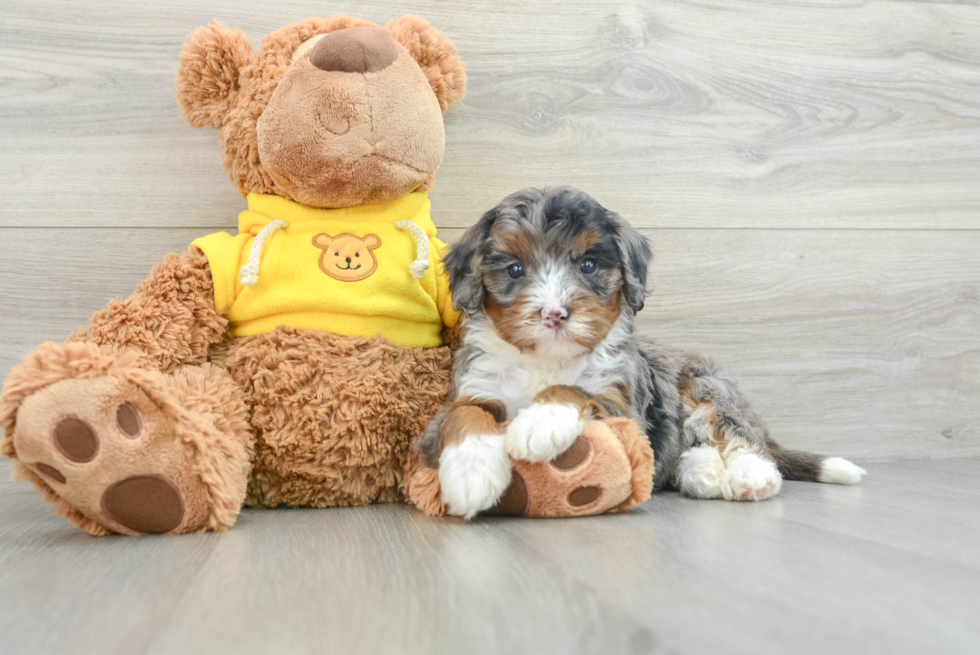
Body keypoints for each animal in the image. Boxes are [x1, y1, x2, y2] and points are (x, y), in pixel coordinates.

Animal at [422, 187, 864, 520]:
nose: (554, 313)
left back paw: (749, 476)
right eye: (515, 269)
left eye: (588, 264)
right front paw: (469, 473)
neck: (547, 360)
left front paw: (538, 422)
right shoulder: (474, 386)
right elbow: (464, 415)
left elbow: (574, 390)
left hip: (706, 385)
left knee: (737, 436)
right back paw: (700, 471)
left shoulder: (622, 402)